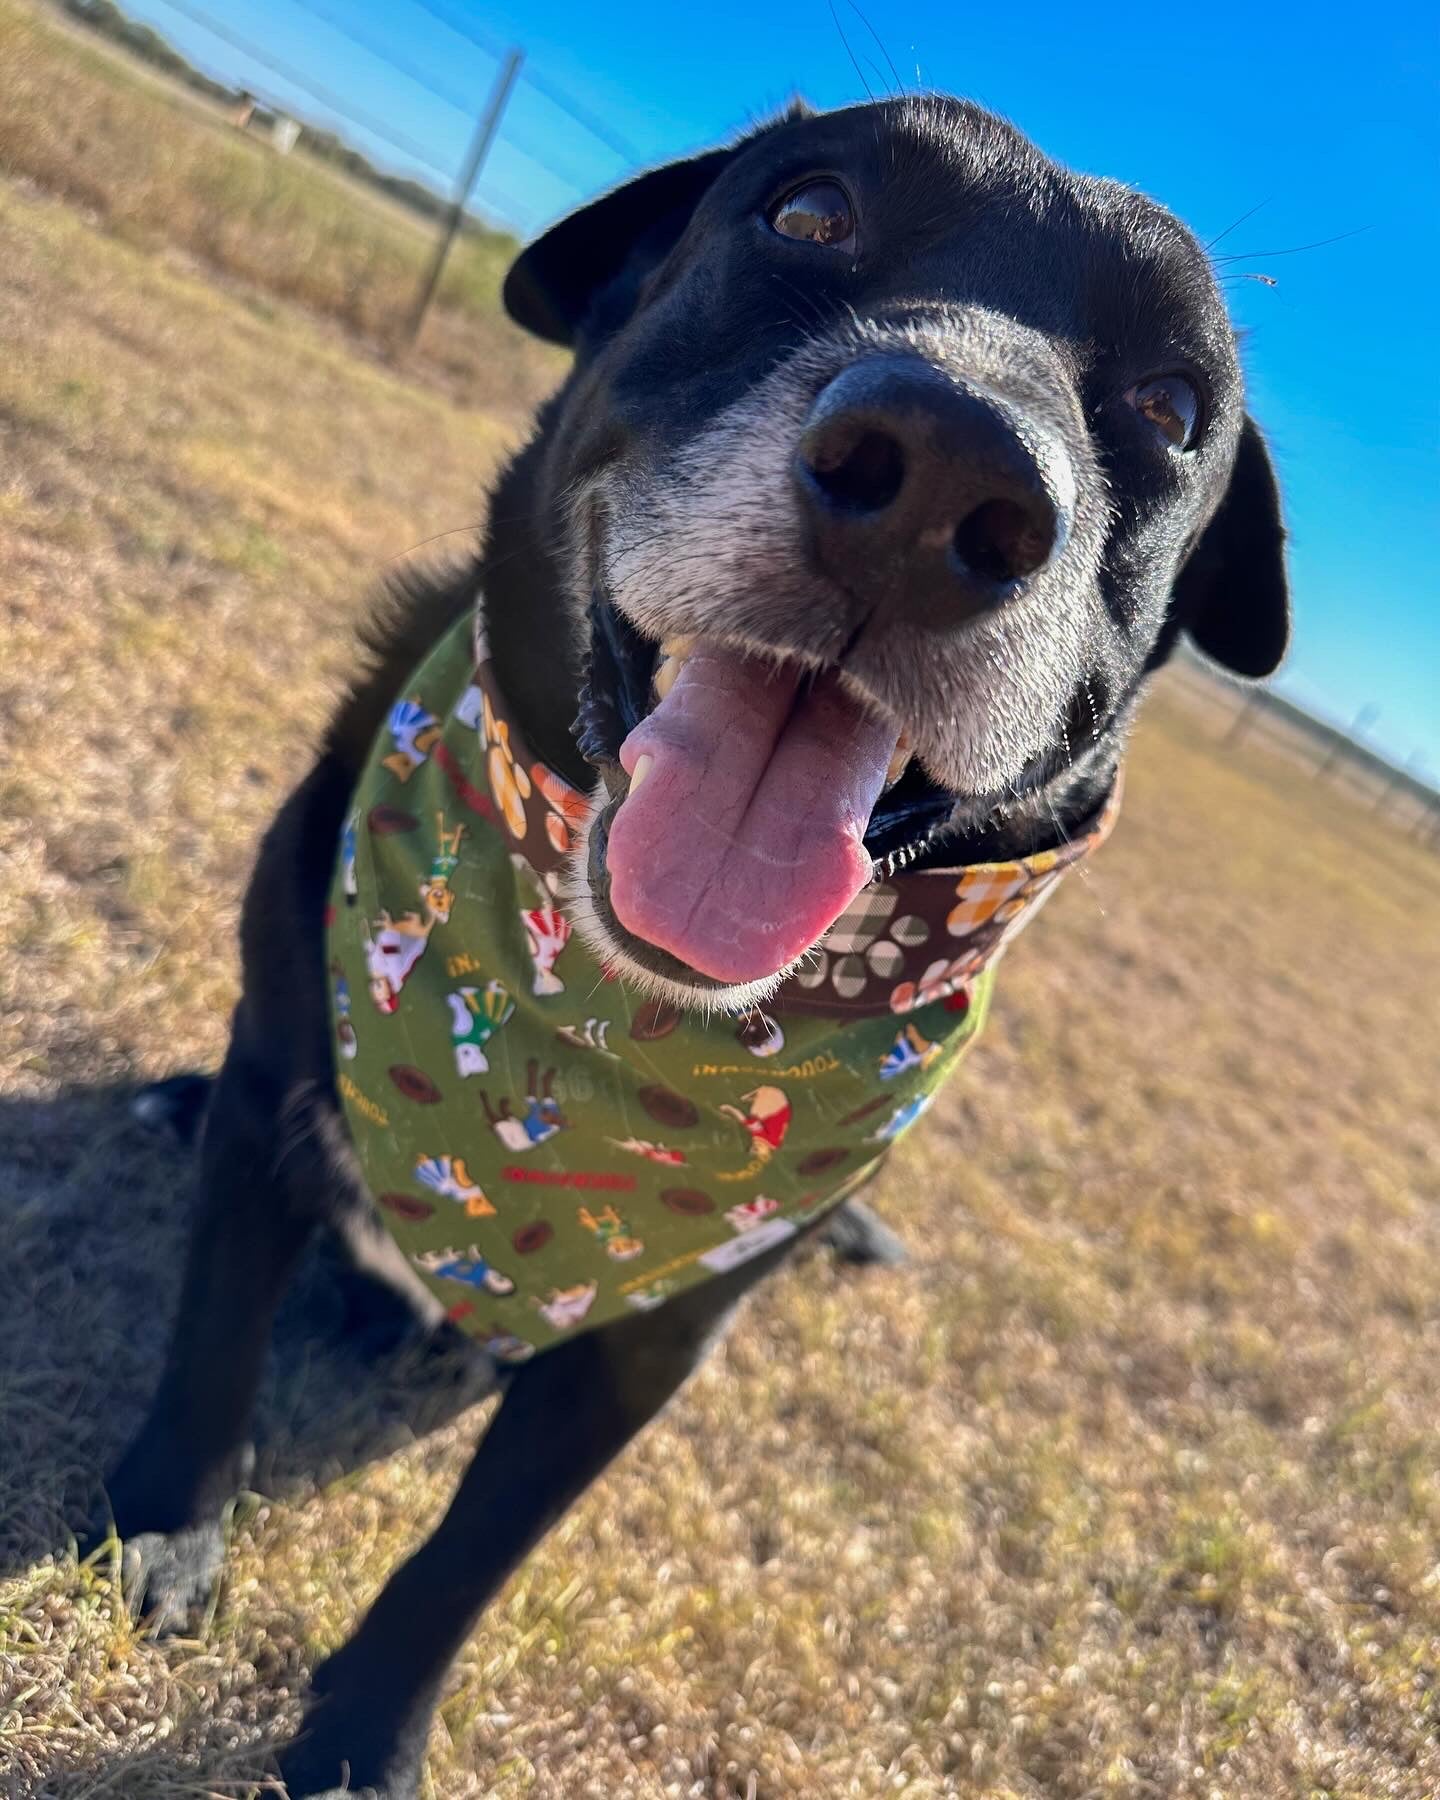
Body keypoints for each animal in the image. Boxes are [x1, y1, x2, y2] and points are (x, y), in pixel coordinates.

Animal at [103, 102, 1296, 1800]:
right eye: (807, 211)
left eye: (1171, 407)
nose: (947, 481)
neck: (590, 1021)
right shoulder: (277, 1087)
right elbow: (214, 1342)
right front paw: (159, 1536)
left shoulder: (652, 1340)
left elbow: (469, 1556)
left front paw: (361, 1740)